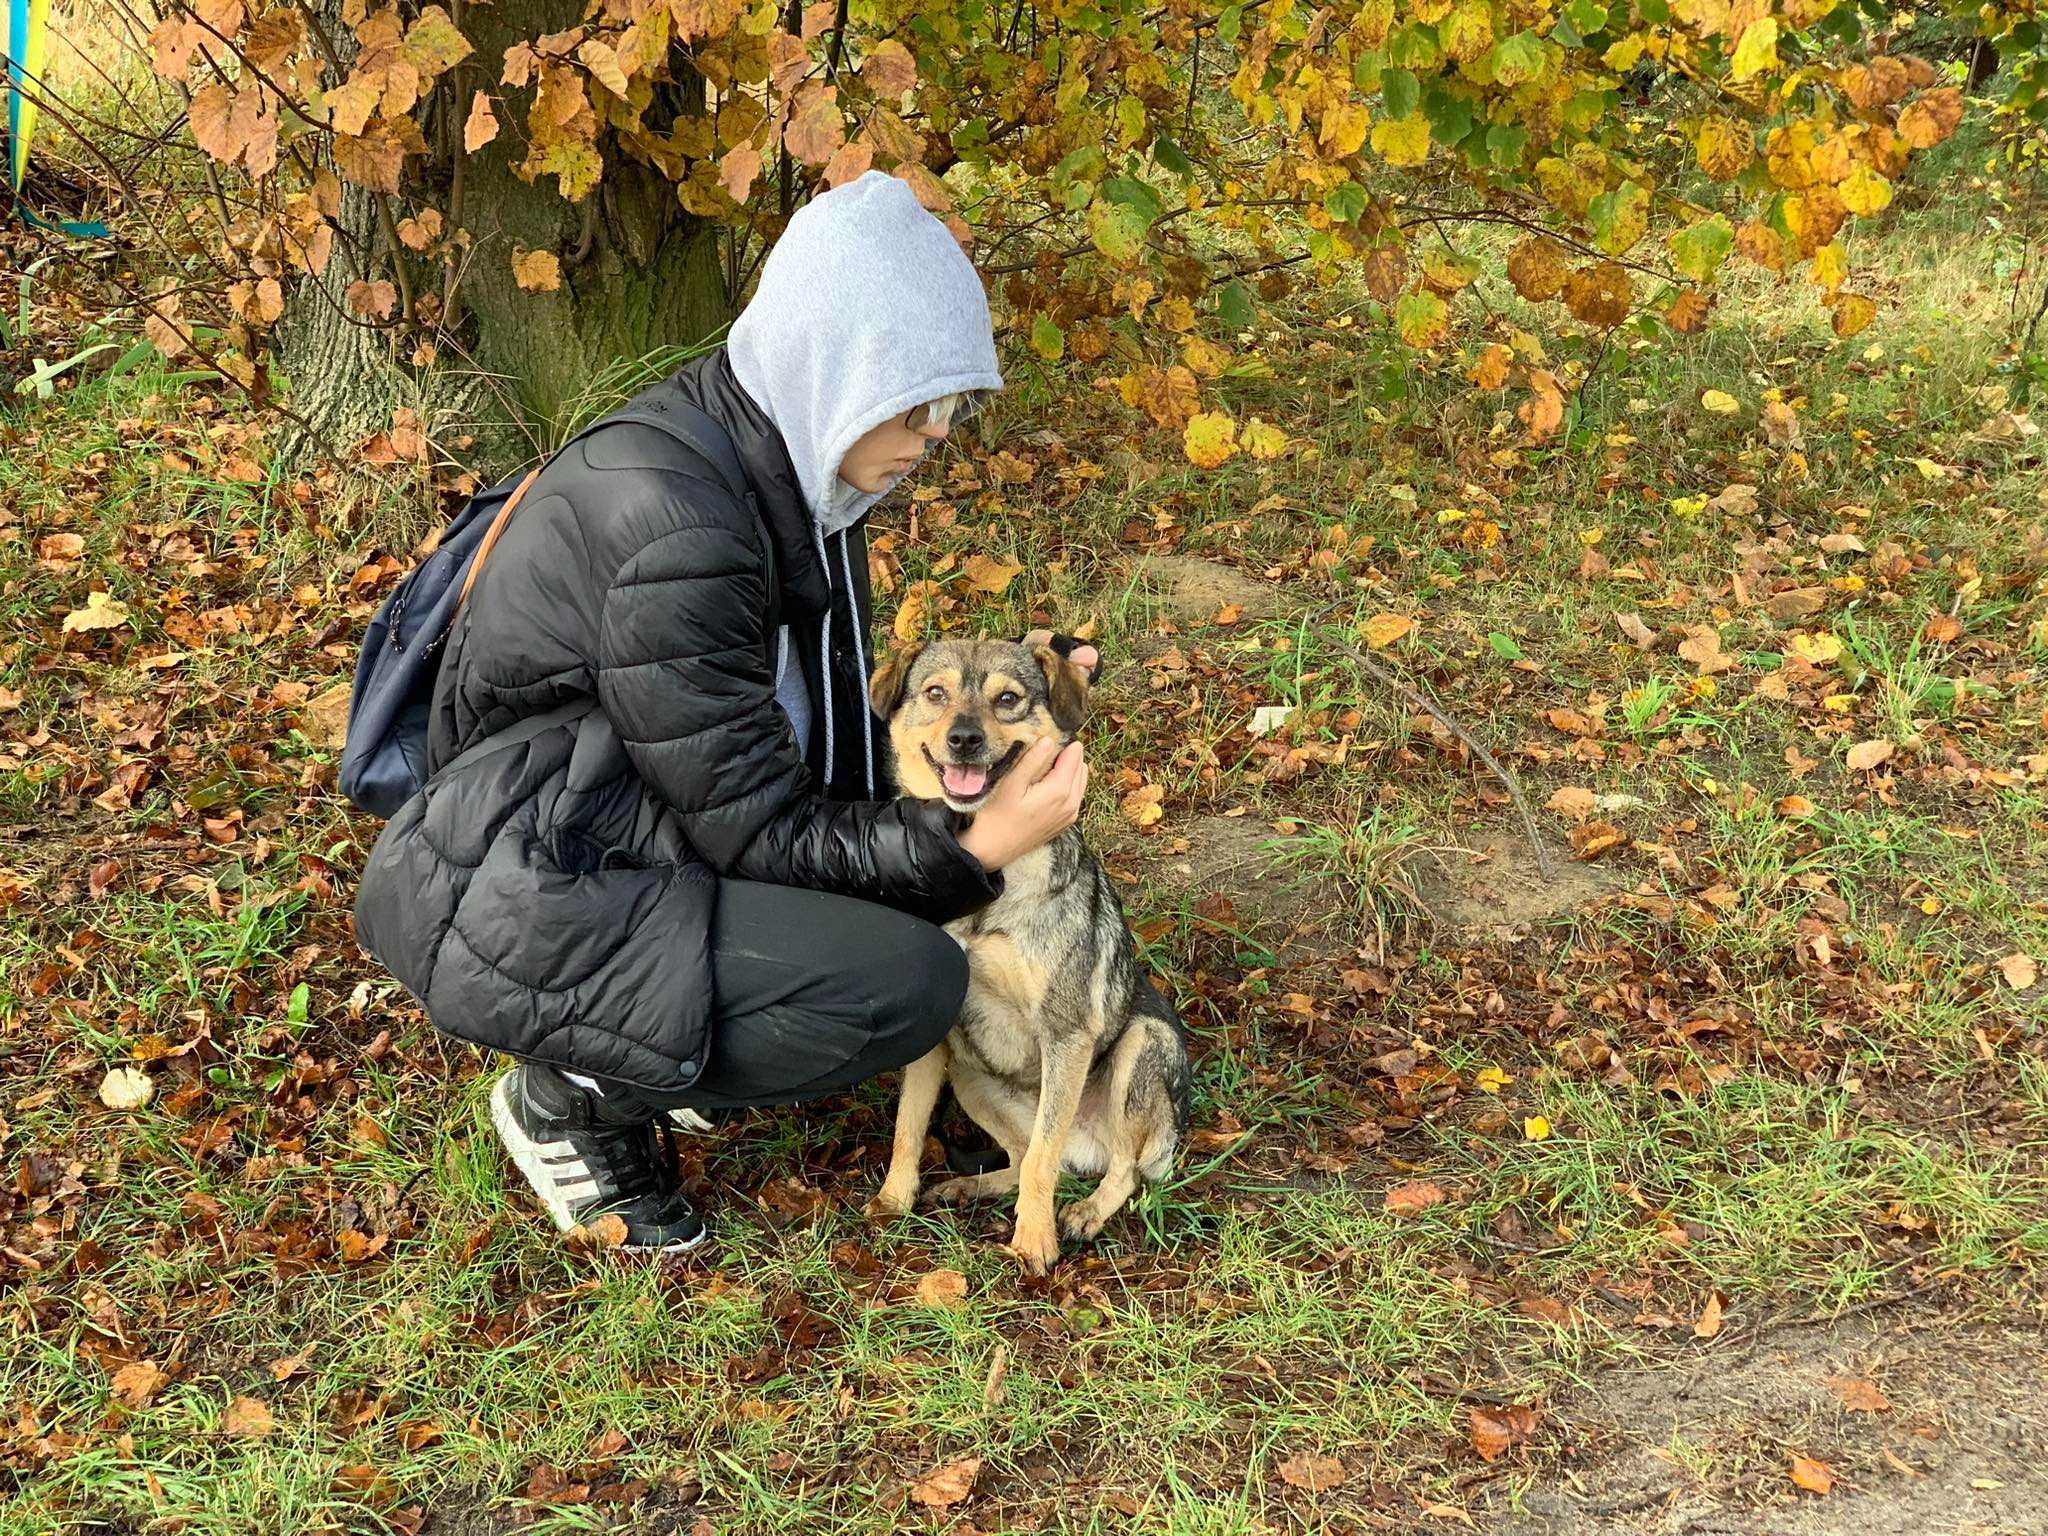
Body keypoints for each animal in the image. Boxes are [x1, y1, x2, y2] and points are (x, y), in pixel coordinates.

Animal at [860, 638, 1187, 1277]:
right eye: (935, 692)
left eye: (1007, 699)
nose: (963, 738)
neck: (986, 879)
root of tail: (1088, 1143)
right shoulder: (935, 1037)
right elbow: (908, 1127)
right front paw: (893, 1199)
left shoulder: (1067, 1031)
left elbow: (1042, 1159)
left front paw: (1034, 1241)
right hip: (970, 1075)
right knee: (1027, 1155)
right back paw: (970, 1187)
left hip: (1142, 1046)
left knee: (1118, 1165)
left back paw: (1085, 1212)